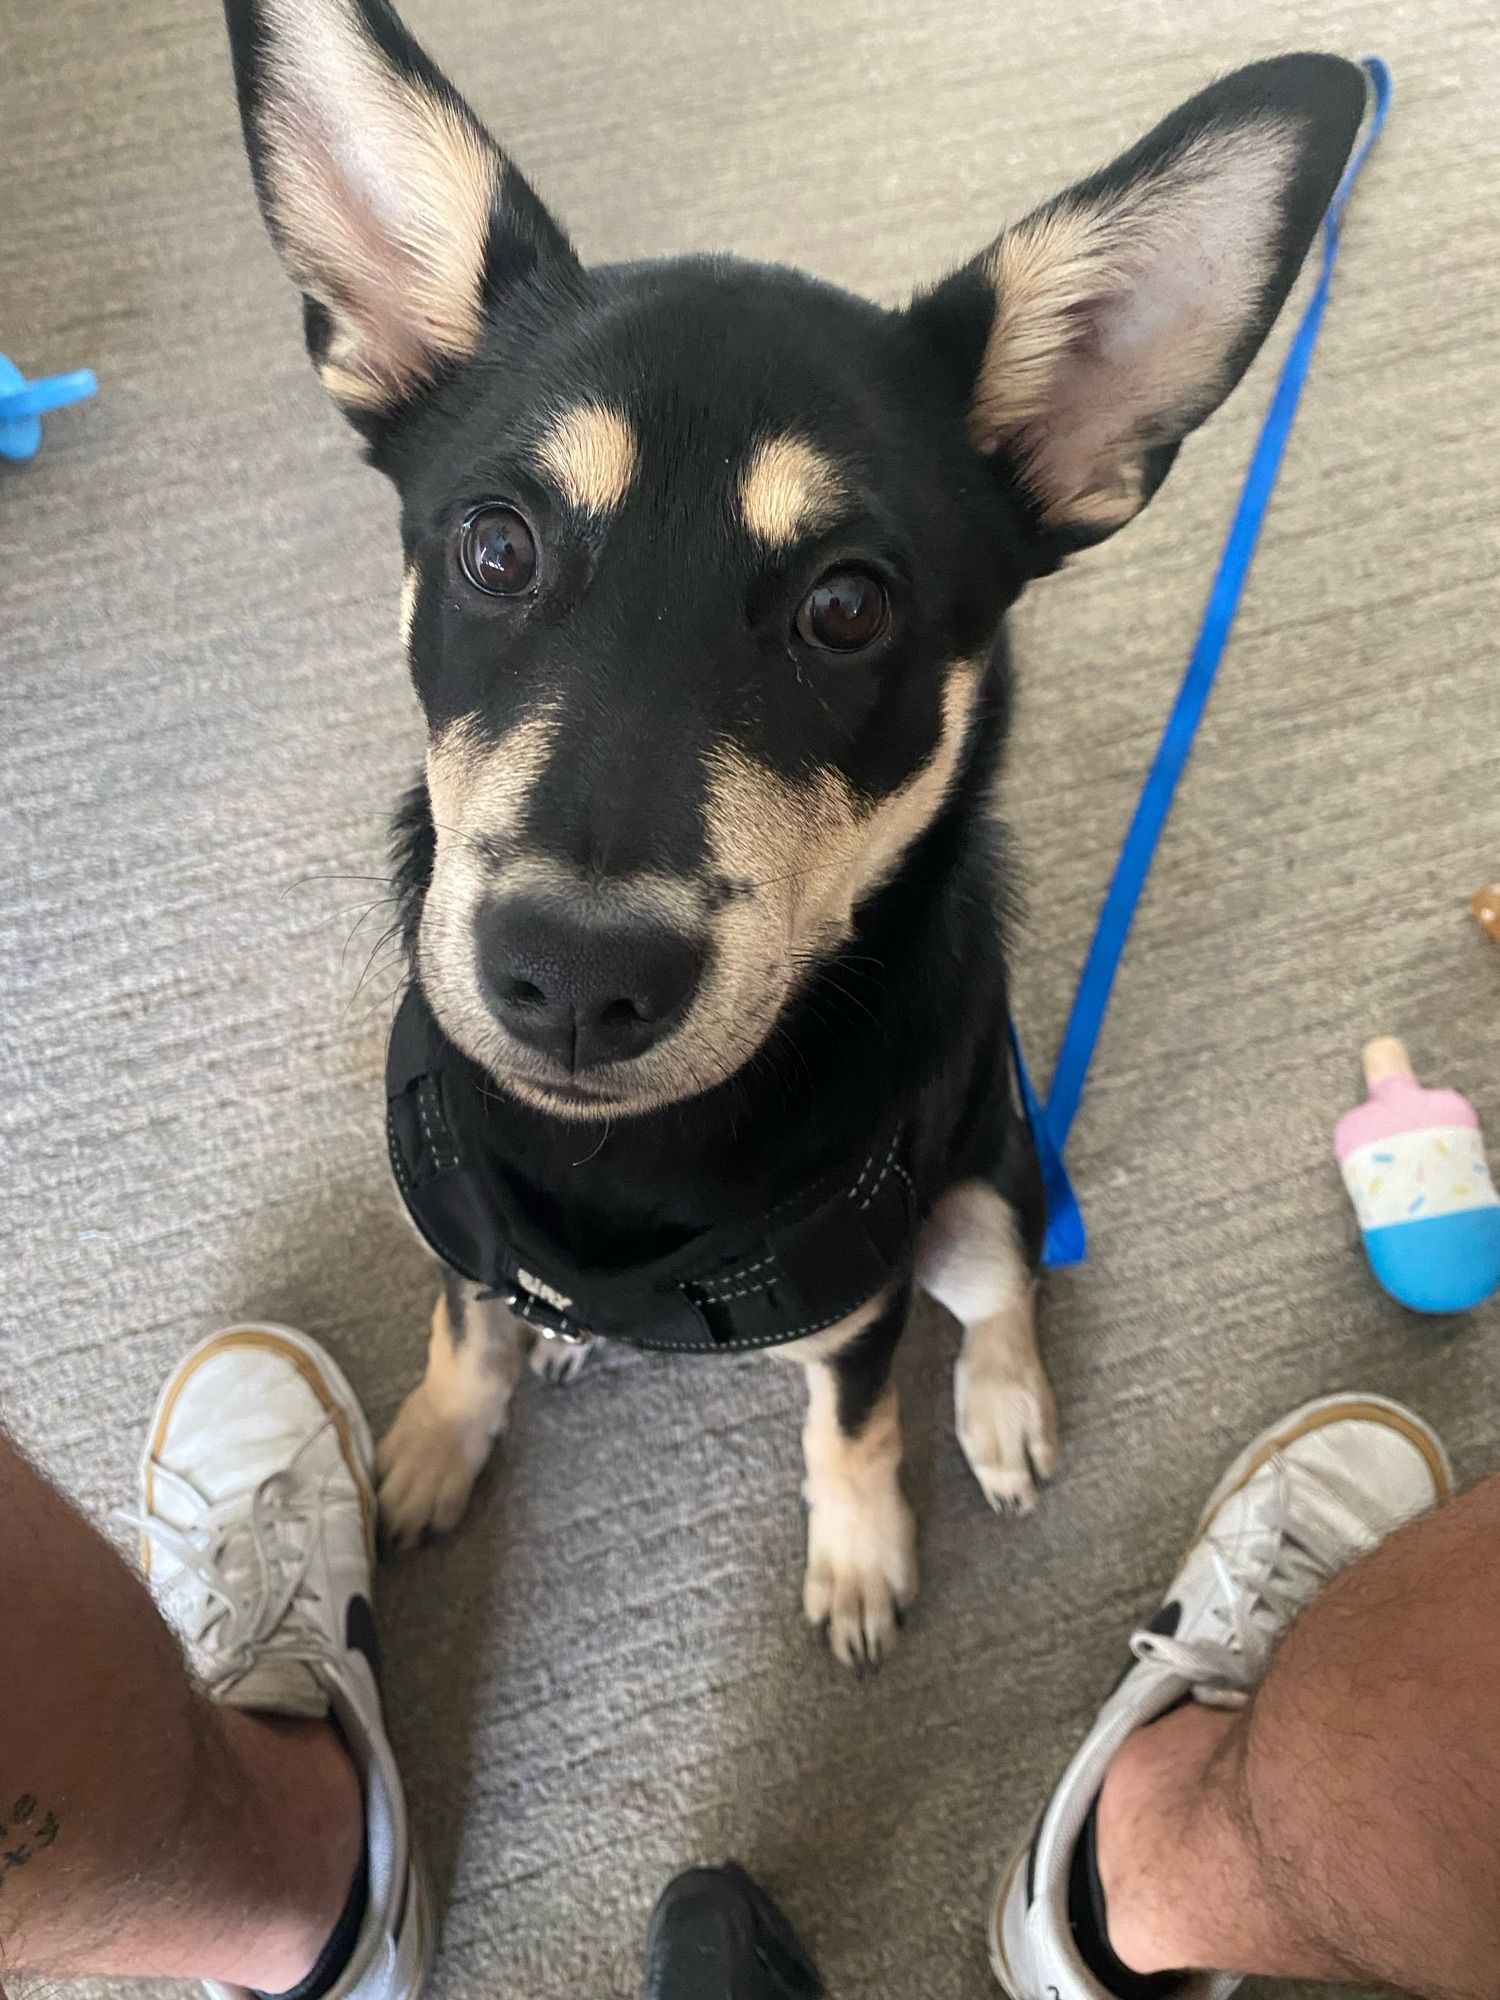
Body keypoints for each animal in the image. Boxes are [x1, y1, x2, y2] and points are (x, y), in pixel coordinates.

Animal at [220, 0, 1360, 1672]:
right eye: (495, 546)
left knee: (1002, 1284)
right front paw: (433, 1438)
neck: (628, 1167)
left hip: (985, 1173)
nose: (573, 982)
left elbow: (853, 1419)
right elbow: (465, 1320)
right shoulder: (467, 1234)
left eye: (847, 606)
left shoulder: (860, 1297)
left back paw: (1003, 1407)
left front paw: (863, 1554)